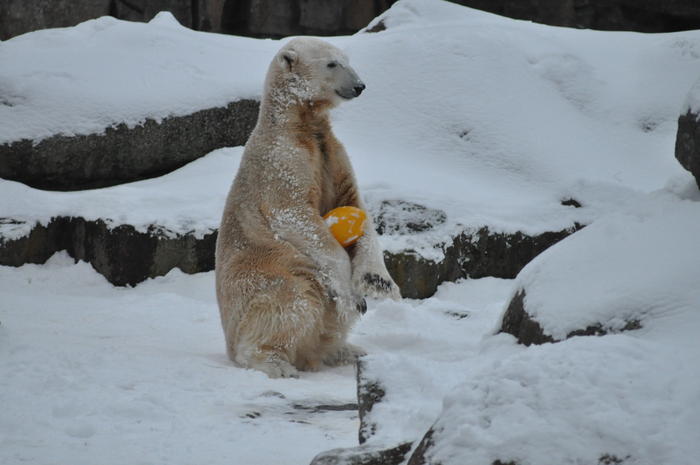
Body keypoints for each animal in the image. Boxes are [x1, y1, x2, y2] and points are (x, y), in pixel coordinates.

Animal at [215, 37, 401, 378]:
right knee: (294, 300)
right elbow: (295, 214)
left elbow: (354, 204)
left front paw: (377, 282)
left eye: (347, 60)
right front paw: (353, 295)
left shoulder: (332, 154)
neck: (298, 125)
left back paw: (345, 350)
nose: (360, 85)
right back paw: (276, 362)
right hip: (270, 272)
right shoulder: (281, 161)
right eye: (332, 64)